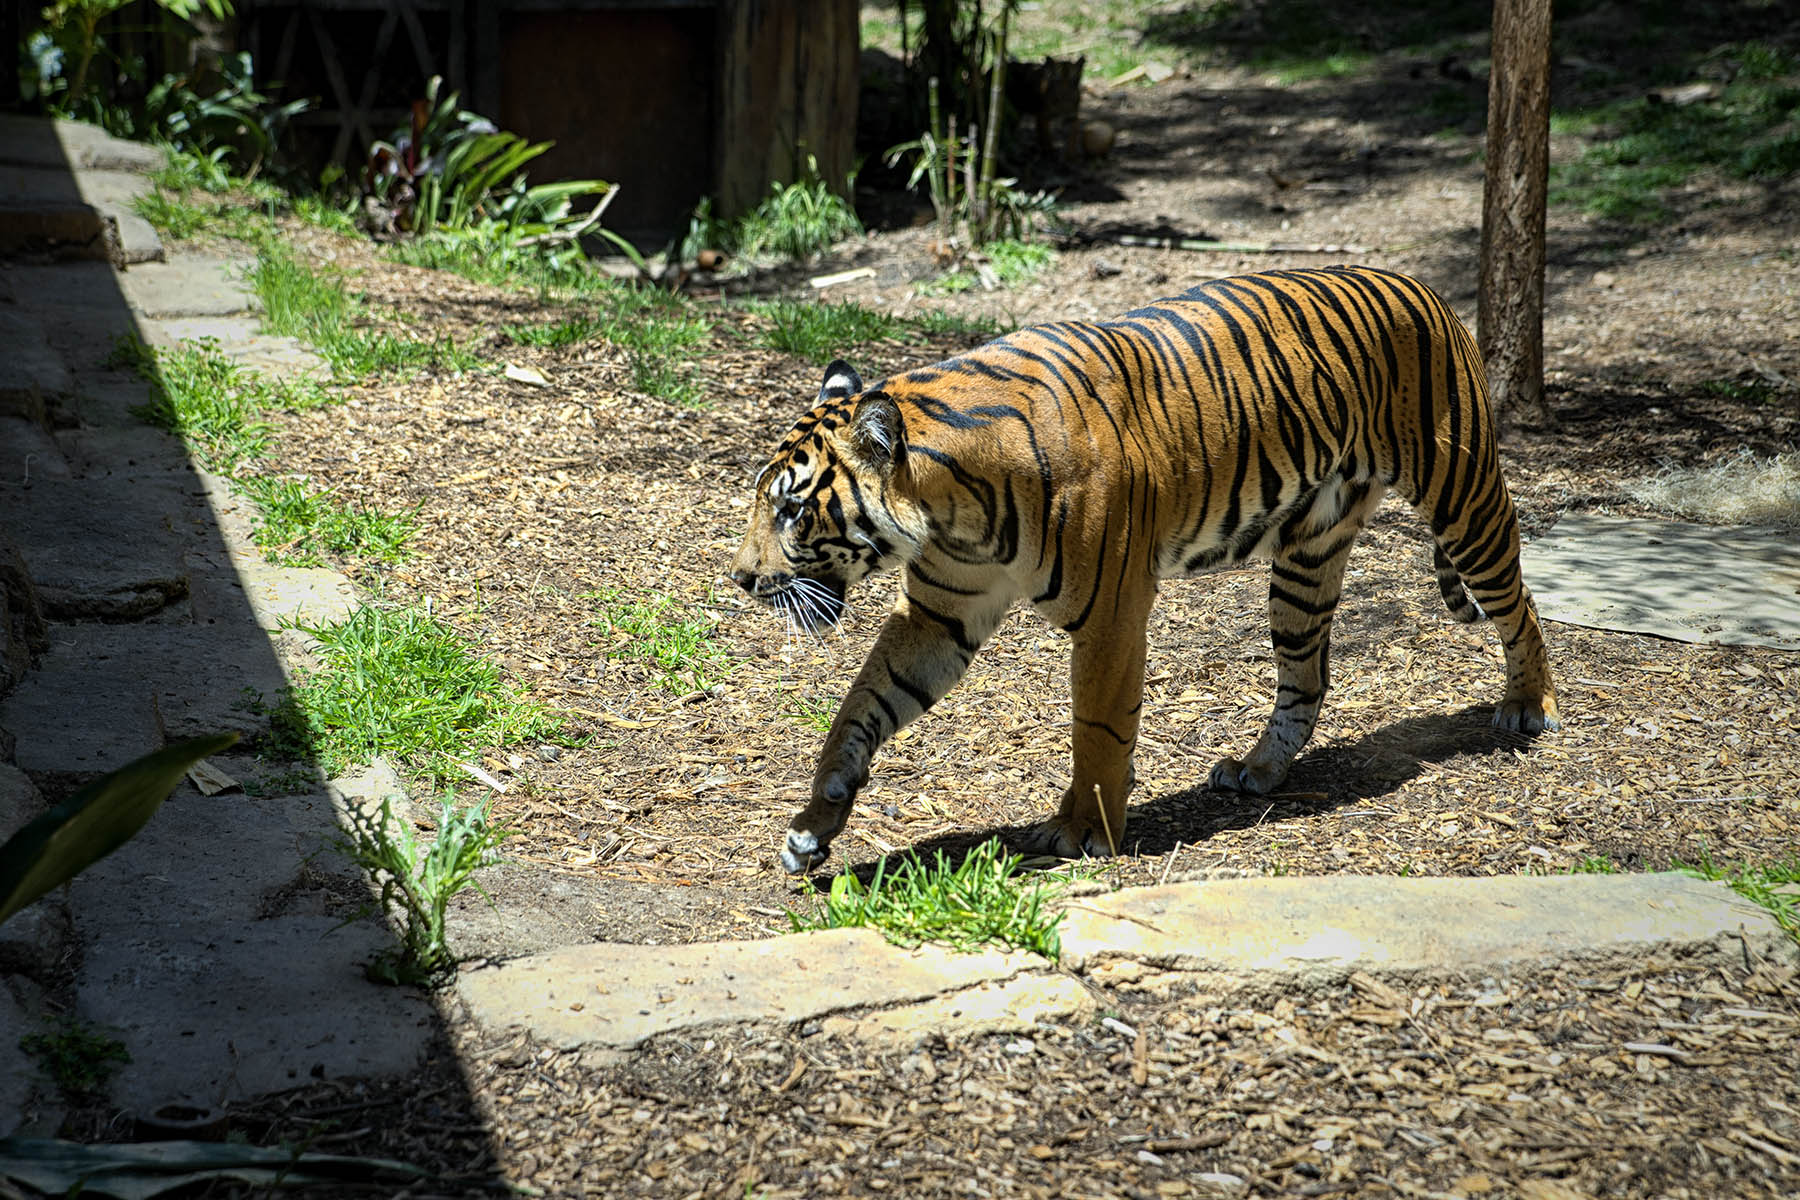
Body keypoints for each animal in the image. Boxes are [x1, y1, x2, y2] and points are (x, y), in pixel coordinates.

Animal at [730, 268, 1562, 877]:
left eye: (791, 509)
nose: (740, 579)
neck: (951, 512)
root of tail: (1425, 287)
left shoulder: (1111, 615)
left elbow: (1098, 727)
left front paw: (1079, 833)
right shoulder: (940, 615)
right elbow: (860, 707)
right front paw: (816, 822)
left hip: (1463, 496)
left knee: (1517, 602)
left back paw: (1529, 706)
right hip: (1306, 559)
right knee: (1307, 679)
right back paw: (1258, 771)